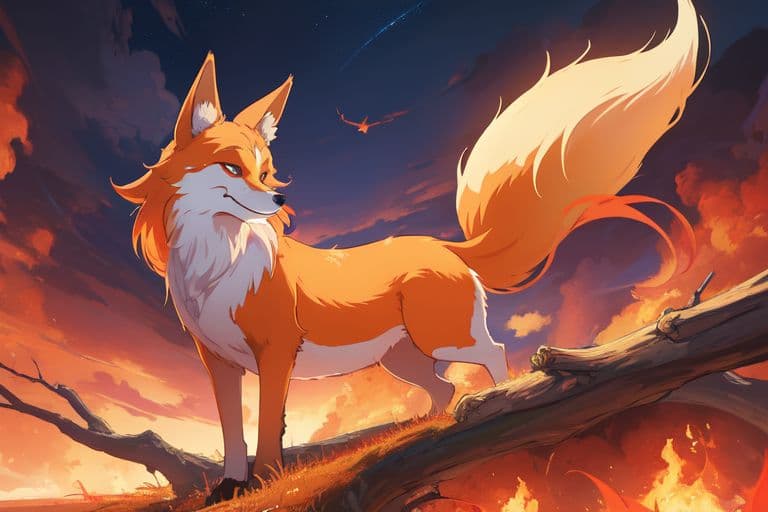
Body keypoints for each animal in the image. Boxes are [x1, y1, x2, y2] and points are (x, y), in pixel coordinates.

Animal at [113, 0, 703, 505]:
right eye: (233, 169)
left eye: (265, 170)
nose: (281, 200)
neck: (216, 265)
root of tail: (445, 245)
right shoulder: (217, 362)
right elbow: (233, 435)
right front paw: (231, 489)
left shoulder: (275, 354)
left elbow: (266, 431)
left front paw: (266, 482)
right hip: (404, 358)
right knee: (445, 389)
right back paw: (431, 427)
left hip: (443, 337)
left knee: (493, 354)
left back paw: (502, 404)